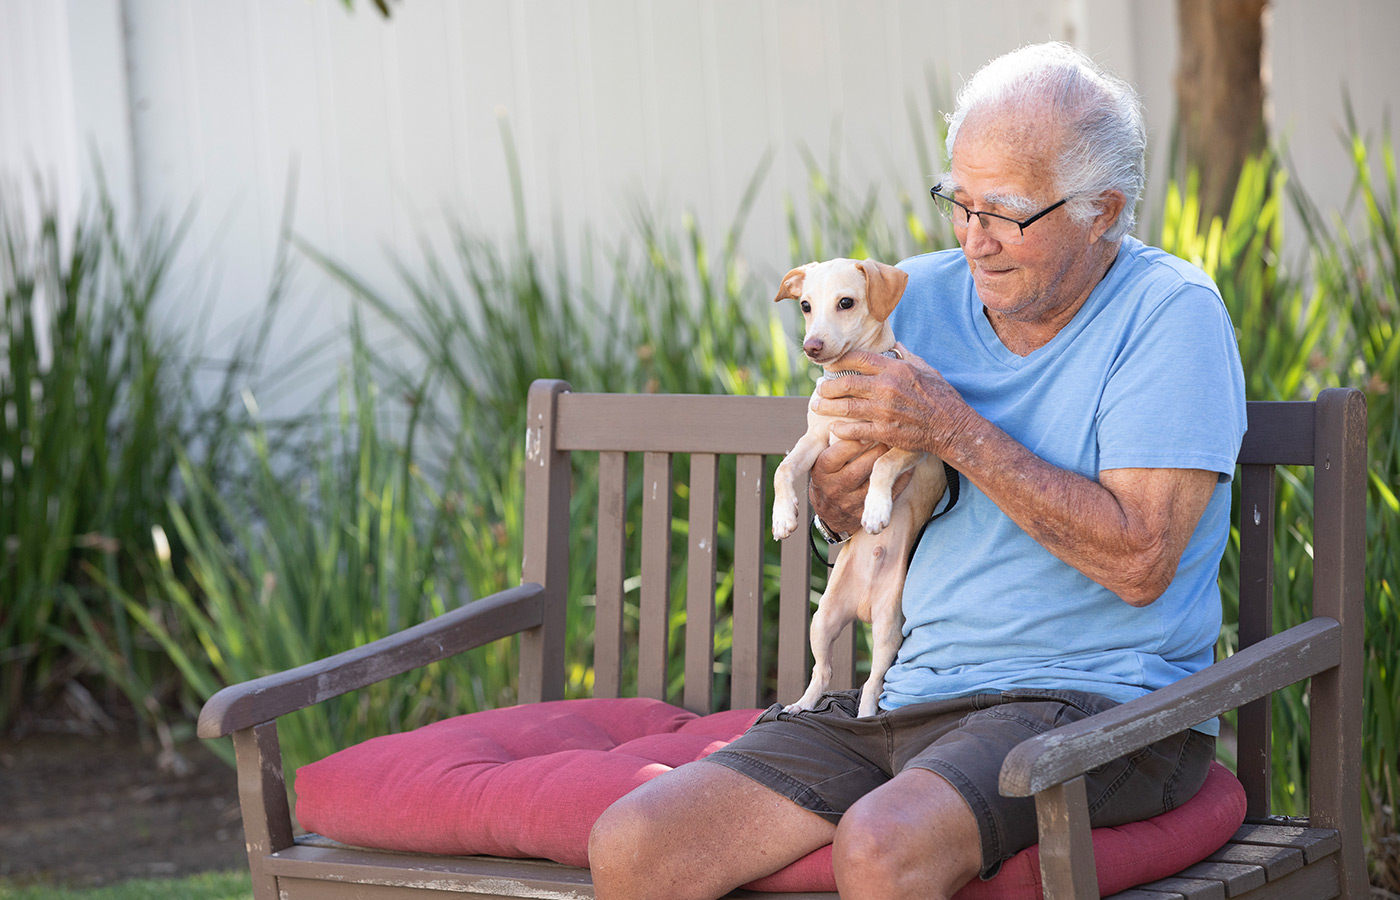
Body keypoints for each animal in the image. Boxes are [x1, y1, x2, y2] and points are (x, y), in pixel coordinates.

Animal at [772, 258, 946, 716]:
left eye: (846, 303)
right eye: (805, 306)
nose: (812, 346)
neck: (852, 375)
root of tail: (863, 608)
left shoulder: (912, 445)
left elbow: (882, 463)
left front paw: (875, 511)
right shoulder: (816, 440)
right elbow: (783, 469)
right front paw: (783, 518)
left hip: (890, 629)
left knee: (873, 682)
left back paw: (866, 716)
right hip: (823, 618)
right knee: (823, 671)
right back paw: (801, 704)